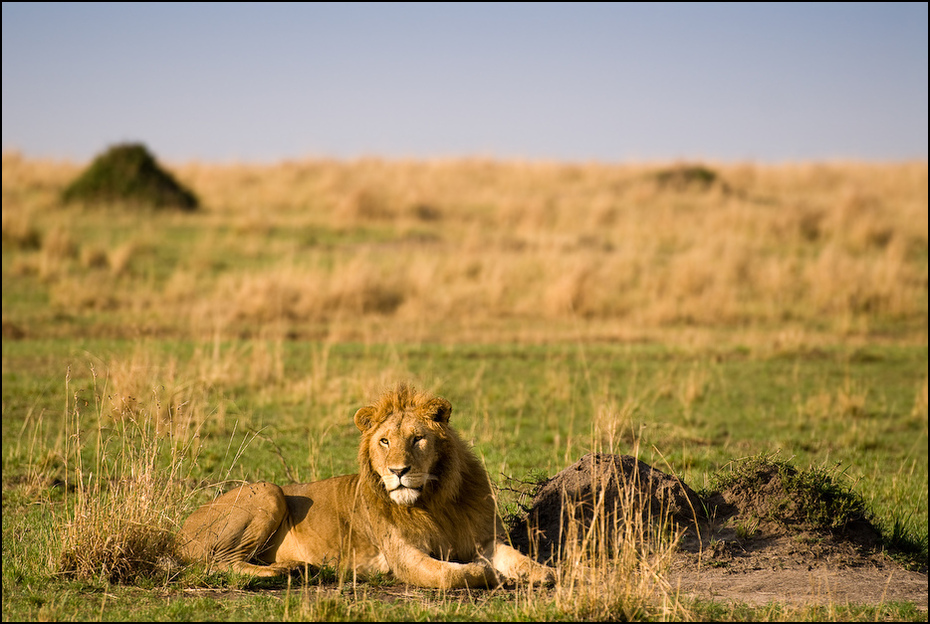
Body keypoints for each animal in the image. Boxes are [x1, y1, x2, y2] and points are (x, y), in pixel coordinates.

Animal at [179, 380, 556, 588]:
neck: (435, 501)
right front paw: (487, 574)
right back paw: (291, 571)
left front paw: (545, 573)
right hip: (267, 491)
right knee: (218, 564)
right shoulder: (403, 556)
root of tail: (181, 530)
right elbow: (452, 575)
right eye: (385, 441)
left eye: (418, 438)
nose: (398, 471)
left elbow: (520, 559)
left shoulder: (483, 538)